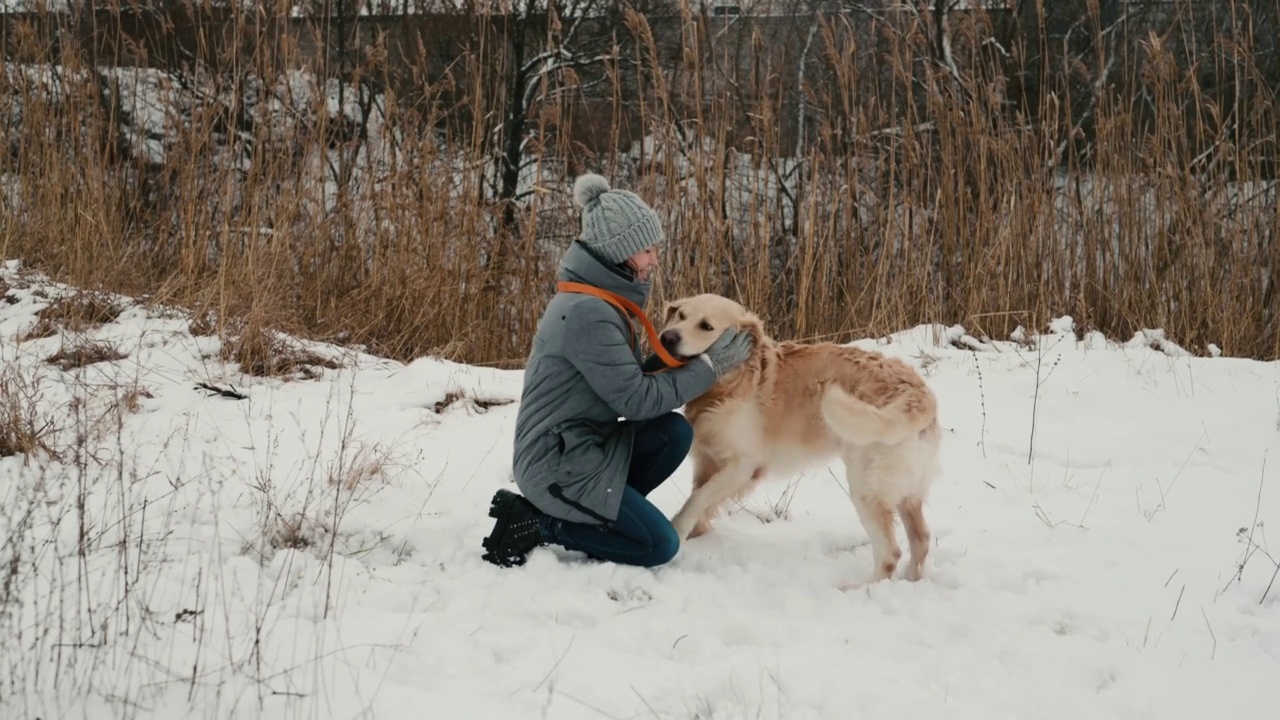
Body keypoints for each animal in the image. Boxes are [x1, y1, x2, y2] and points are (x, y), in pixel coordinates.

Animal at [660, 293, 942, 584]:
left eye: (706, 326)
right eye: (680, 315)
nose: (667, 337)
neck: (729, 382)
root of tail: (916, 390)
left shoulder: (743, 466)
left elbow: (697, 499)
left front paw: (678, 530)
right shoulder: (706, 460)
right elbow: (700, 496)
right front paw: (697, 534)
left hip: (866, 486)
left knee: (890, 553)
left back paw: (856, 588)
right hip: (906, 490)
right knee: (921, 539)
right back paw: (911, 580)